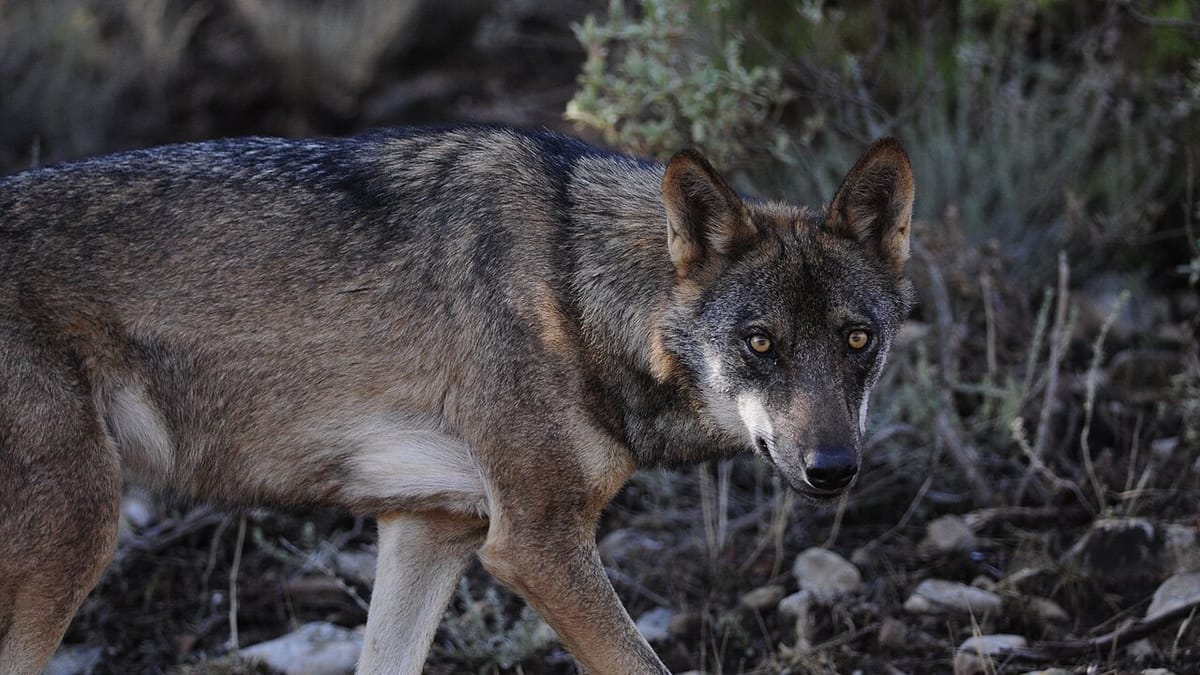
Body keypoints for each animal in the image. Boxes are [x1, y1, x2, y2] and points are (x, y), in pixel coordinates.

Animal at [0, 125, 913, 674]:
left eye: (857, 340)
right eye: (761, 343)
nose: (835, 468)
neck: (576, 289)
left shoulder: (431, 528)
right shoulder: (535, 543)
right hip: (81, 529)